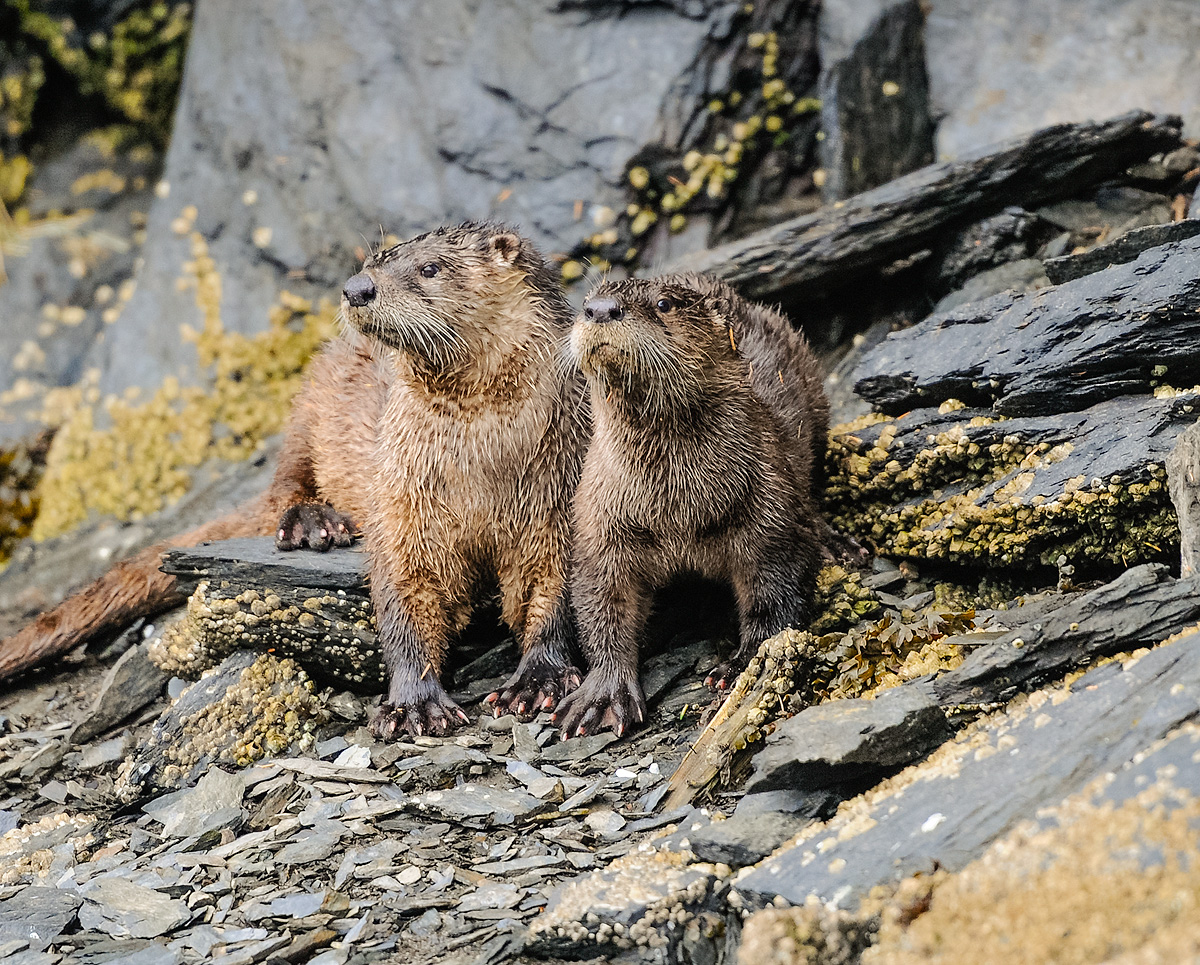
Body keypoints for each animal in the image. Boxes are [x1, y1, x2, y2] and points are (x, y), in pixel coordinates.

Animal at [554, 271, 830, 739]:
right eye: (587, 300)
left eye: (664, 304)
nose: (601, 309)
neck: (679, 508)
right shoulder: (599, 525)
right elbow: (601, 604)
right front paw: (603, 694)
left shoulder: (770, 513)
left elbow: (775, 595)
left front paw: (742, 665)